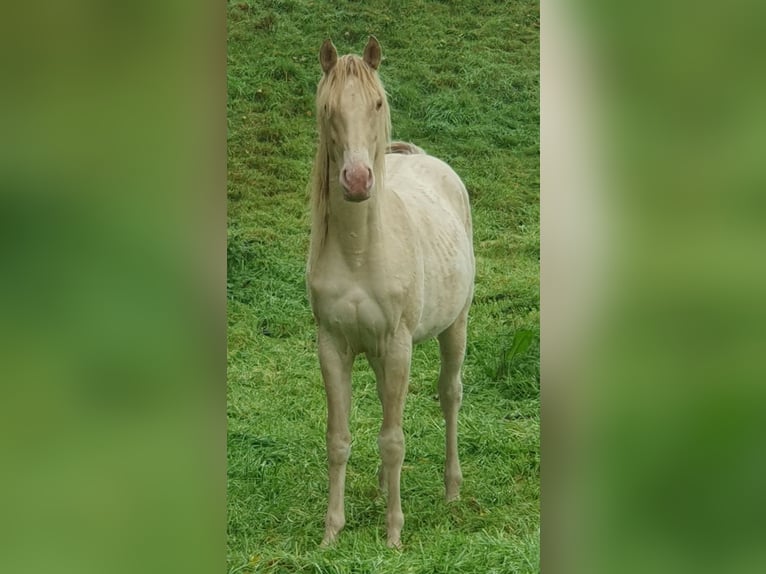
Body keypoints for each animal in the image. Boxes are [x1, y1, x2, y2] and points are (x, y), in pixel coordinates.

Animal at [306, 36, 475, 549]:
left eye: (377, 103)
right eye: (327, 107)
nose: (358, 180)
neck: (360, 251)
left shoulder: (399, 345)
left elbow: (394, 439)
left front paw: (394, 534)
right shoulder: (333, 346)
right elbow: (339, 439)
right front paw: (332, 532)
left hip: (455, 326)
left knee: (450, 394)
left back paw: (451, 490)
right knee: (386, 403)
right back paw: (383, 488)